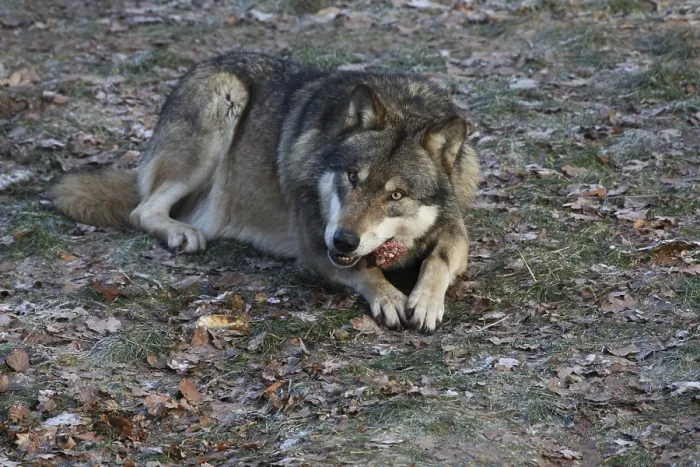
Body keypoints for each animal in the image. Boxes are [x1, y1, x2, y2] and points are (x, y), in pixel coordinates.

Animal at [51, 51, 480, 333]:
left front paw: (425, 301)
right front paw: (389, 296)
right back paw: (182, 233)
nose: (343, 240)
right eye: (352, 177)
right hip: (224, 101)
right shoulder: (315, 247)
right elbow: (365, 269)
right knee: (142, 209)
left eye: (396, 196)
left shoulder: (454, 230)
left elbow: (438, 259)